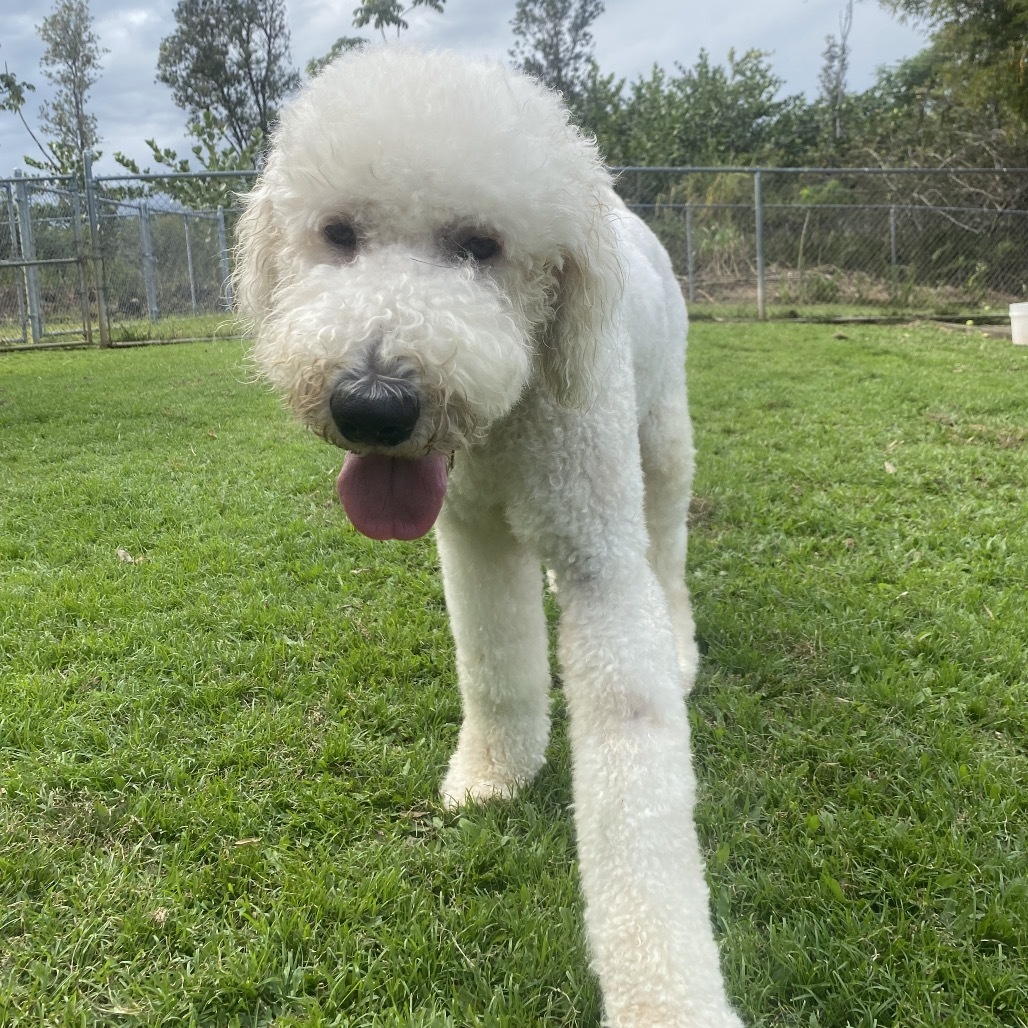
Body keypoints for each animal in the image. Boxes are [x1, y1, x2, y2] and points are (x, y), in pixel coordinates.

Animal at [236, 44, 744, 1023]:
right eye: (338, 233)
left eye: (482, 246)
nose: (373, 404)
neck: (511, 420)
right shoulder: (469, 531)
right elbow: (496, 665)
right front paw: (493, 774)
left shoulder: (600, 561)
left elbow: (636, 798)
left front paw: (668, 999)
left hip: (661, 439)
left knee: (666, 547)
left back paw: (679, 639)